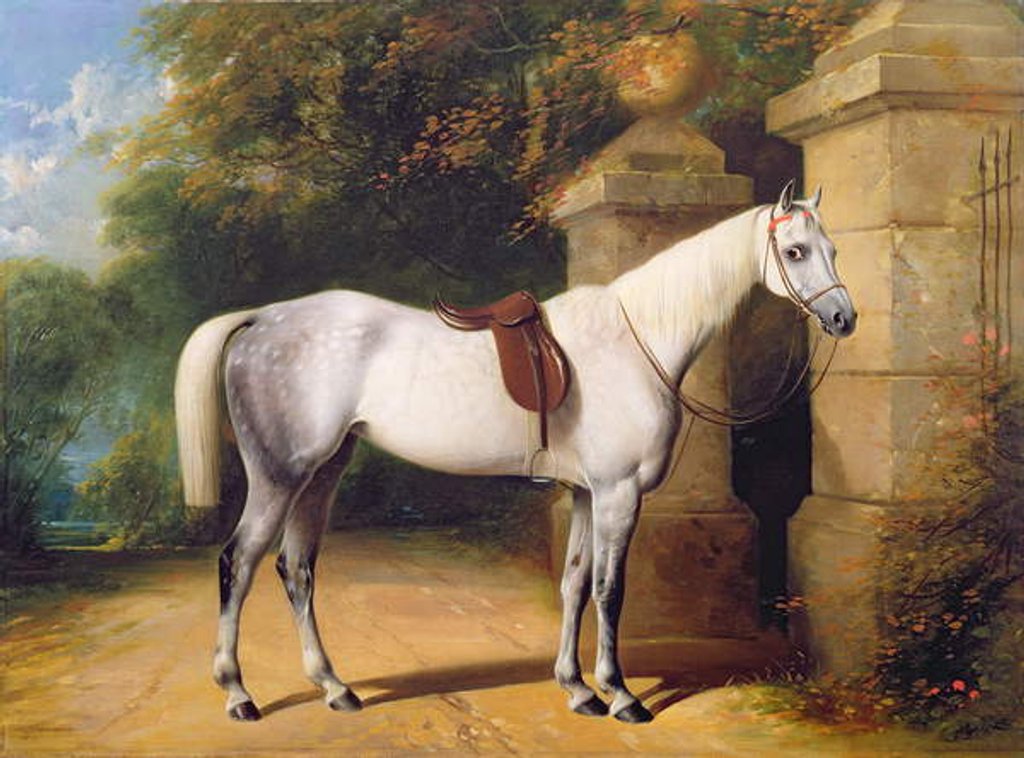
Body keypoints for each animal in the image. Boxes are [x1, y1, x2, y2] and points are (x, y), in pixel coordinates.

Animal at [174, 180, 856, 724]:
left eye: (833, 250)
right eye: (794, 251)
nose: (844, 319)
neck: (636, 339)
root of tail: (262, 319)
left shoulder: (585, 494)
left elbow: (574, 583)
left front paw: (577, 689)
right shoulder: (618, 493)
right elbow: (610, 590)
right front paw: (621, 695)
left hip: (322, 474)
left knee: (296, 569)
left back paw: (334, 687)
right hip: (279, 475)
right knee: (238, 563)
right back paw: (239, 695)